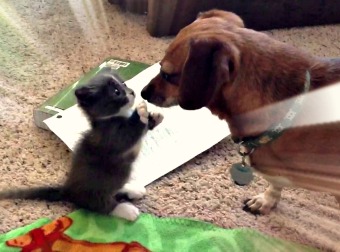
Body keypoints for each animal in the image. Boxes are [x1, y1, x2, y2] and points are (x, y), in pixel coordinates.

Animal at [0, 68, 163, 221]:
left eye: (124, 84)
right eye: (116, 92)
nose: (133, 92)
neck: (116, 116)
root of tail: (68, 189)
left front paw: (154, 116)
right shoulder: (111, 138)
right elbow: (129, 134)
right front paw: (141, 111)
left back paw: (132, 189)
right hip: (96, 187)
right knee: (100, 204)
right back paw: (126, 210)